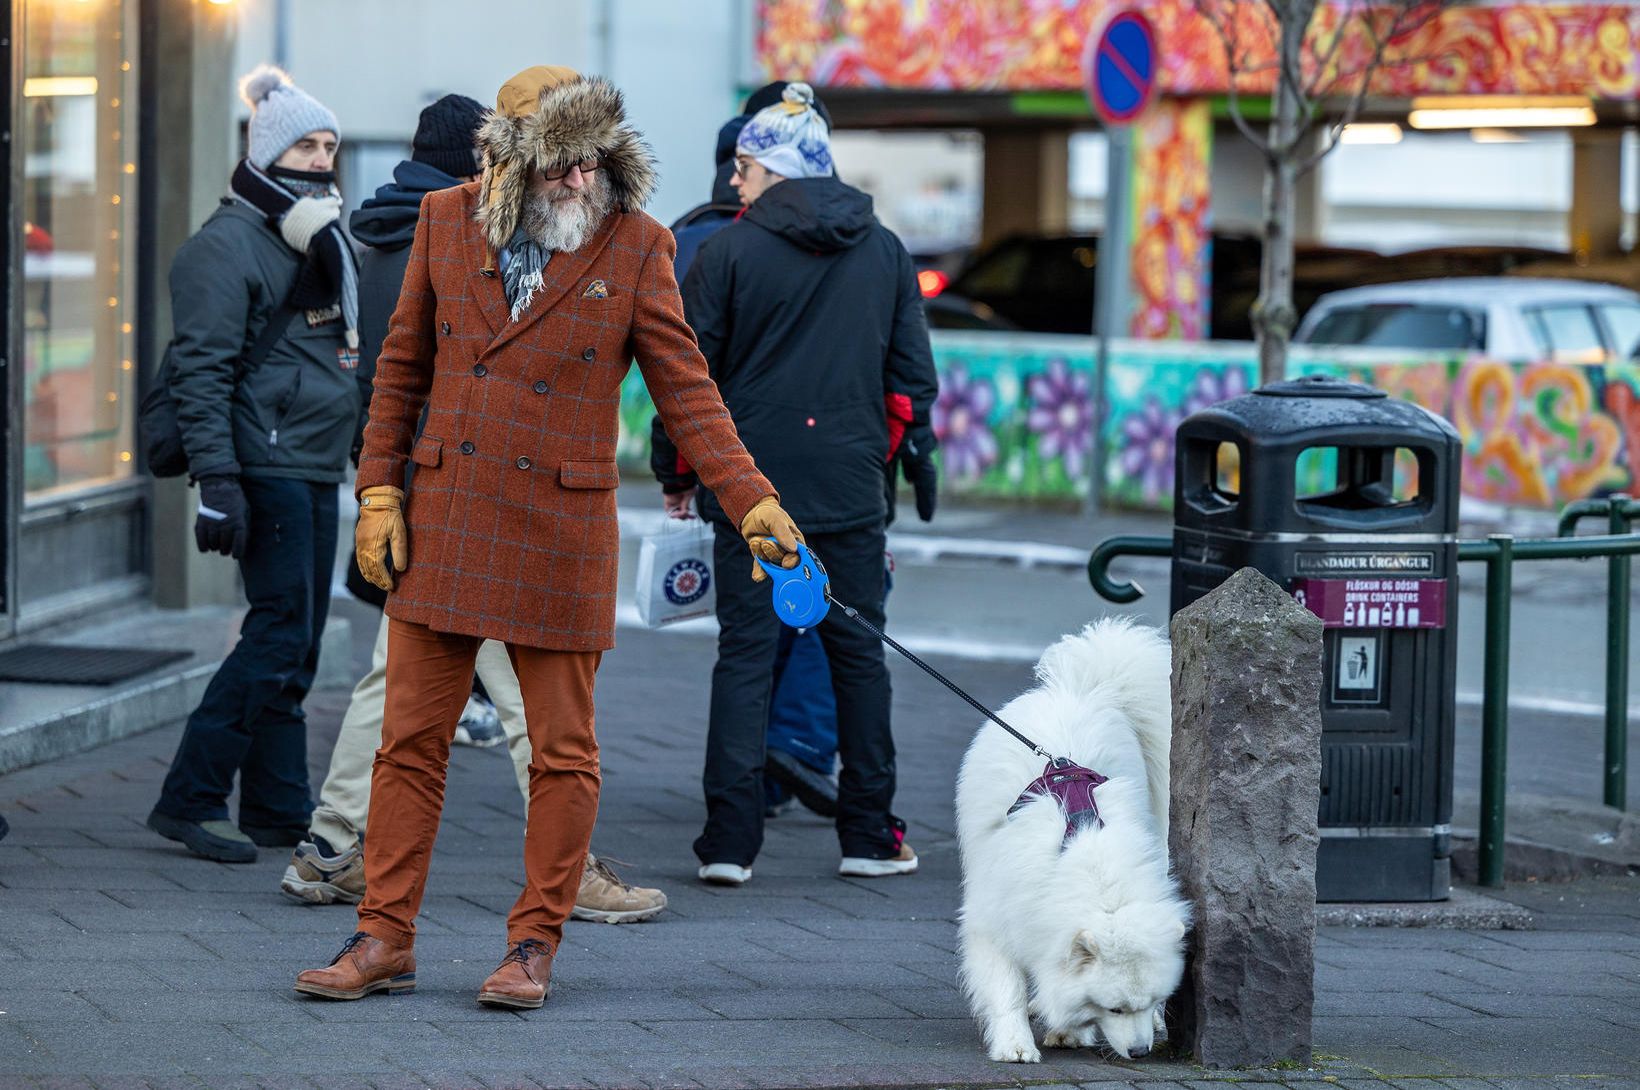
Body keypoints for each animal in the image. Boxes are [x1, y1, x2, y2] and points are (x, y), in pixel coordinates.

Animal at [957, 619, 1187, 1062]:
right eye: (1114, 1008)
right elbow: (1006, 988)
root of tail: (1090, 687)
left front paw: (1069, 1032)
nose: (1140, 1052)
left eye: (1151, 999)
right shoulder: (992, 923)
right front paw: (1015, 1045)